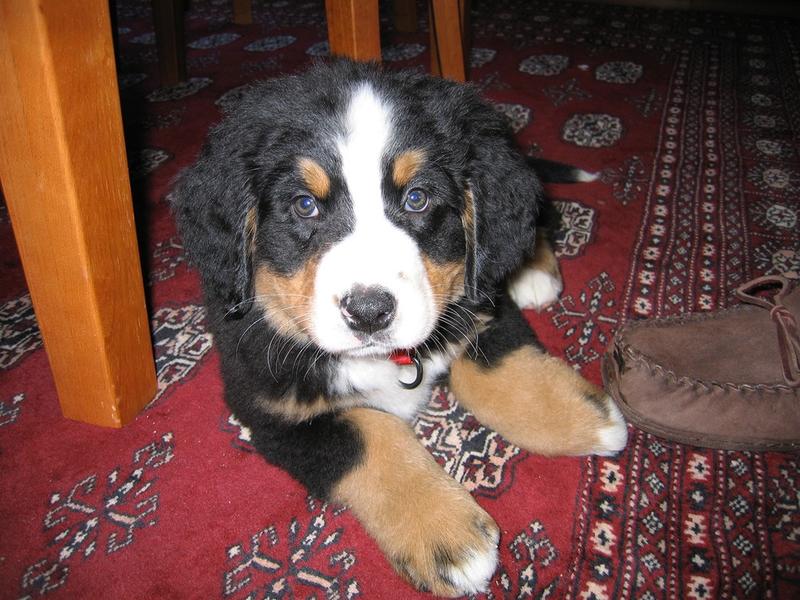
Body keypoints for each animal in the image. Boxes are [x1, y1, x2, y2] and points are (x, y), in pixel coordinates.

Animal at [172, 59, 628, 596]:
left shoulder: (481, 298)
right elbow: (370, 433)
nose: (369, 312)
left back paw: (535, 270)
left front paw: (583, 416)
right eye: (305, 205)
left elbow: (490, 366)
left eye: (417, 198)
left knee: (531, 216)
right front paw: (446, 534)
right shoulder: (272, 407)